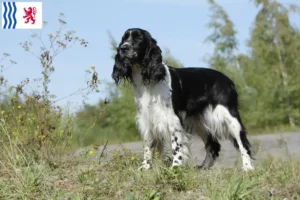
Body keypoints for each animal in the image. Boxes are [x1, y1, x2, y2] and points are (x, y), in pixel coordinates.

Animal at [111, 28, 254, 171]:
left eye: (138, 39)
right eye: (124, 39)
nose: (123, 48)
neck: (148, 81)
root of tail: (228, 81)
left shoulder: (172, 119)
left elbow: (176, 146)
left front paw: (175, 167)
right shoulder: (147, 119)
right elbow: (148, 147)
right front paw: (145, 167)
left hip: (230, 118)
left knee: (243, 143)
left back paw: (247, 167)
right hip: (199, 122)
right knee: (213, 146)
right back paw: (203, 167)